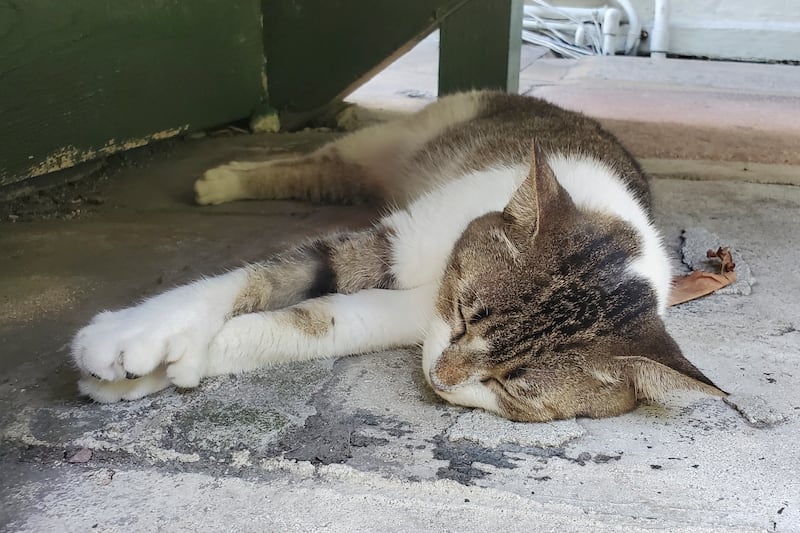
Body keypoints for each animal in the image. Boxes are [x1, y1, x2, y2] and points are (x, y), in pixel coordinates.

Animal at [70, 89, 724, 420]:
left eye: (510, 388)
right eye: (464, 315)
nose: (439, 378)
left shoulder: (405, 317)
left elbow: (316, 322)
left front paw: (163, 370)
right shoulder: (398, 242)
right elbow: (265, 276)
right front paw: (139, 332)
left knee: (327, 178)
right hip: (391, 136)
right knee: (318, 161)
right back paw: (226, 179)